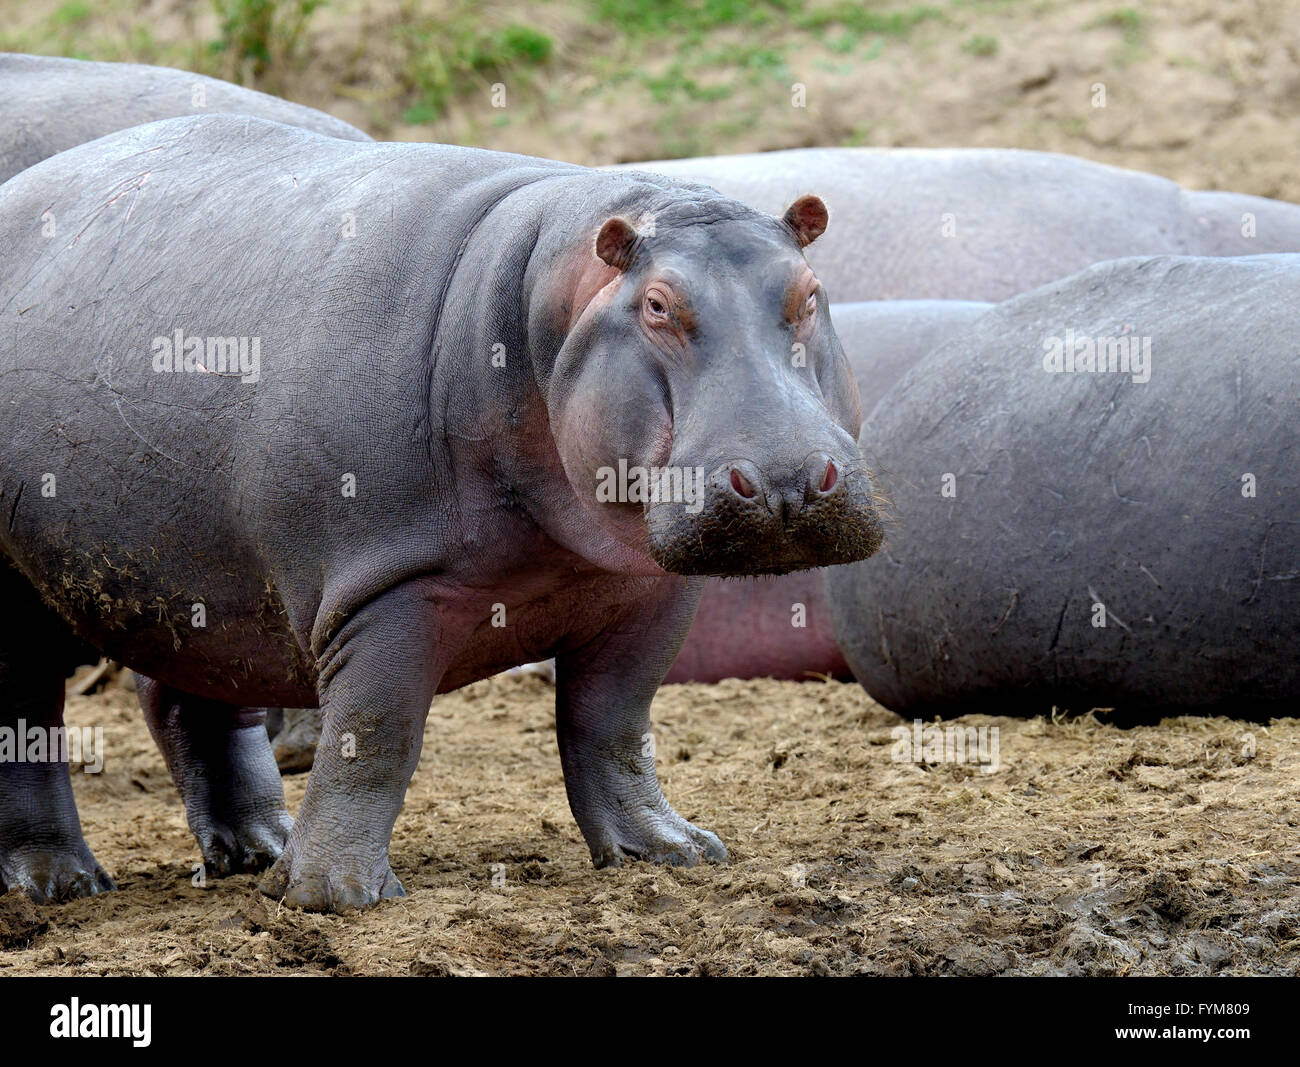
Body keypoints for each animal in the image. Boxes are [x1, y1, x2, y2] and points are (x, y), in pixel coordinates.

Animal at [0, 114, 883, 909]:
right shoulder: (388, 587)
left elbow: (616, 723)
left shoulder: (650, 589)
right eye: (659, 305)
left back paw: (259, 850)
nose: (787, 481)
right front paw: (336, 896)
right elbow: (377, 733)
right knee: (25, 720)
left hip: (197, 576)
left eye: (809, 294)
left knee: (190, 700)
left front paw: (672, 852)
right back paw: (61, 884)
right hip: (28, 587)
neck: (539, 305)